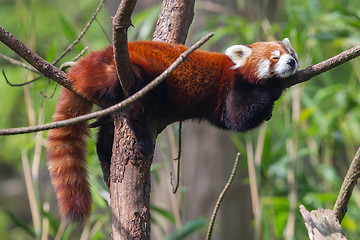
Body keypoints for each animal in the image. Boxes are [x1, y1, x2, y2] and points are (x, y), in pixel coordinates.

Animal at [47, 39, 298, 221]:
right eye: (275, 57)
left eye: (292, 53)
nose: (292, 63)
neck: (237, 71)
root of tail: (103, 55)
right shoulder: (230, 88)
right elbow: (237, 119)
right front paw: (274, 87)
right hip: (140, 75)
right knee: (137, 108)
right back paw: (142, 139)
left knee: (107, 132)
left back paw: (105, 158)